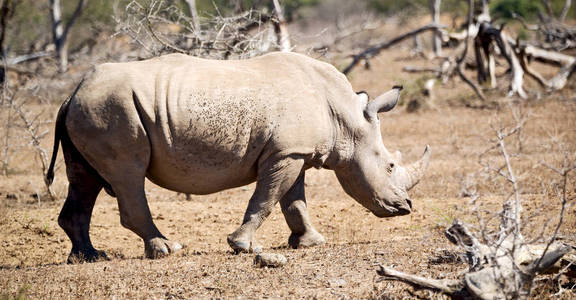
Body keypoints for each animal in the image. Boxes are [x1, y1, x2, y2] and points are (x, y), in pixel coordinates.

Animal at [47, 51, 430, 262]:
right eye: (390, 166)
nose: (406, 207)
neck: (346, 119)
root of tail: (72, 93)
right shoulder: (285, 154)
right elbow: (266, 199)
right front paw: (242, 245)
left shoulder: (292, 152)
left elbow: (294, 202)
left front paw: (310, 242)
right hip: (113, 110)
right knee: (127, 175)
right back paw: (167, 249)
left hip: (91, 110)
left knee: (85, 179)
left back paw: (89, 257)